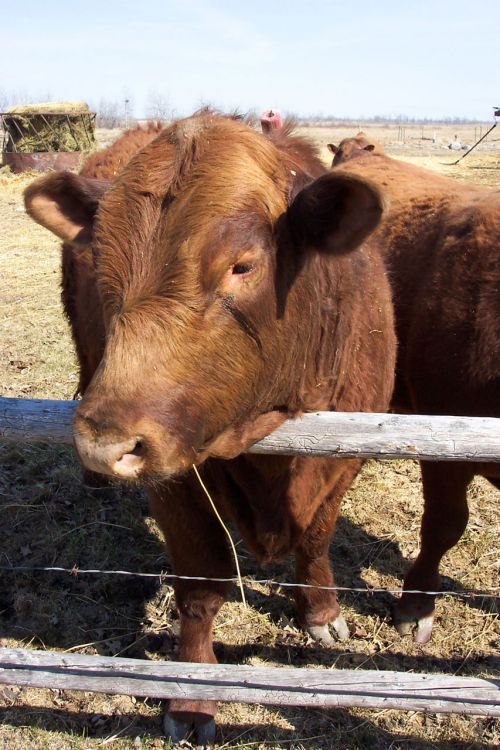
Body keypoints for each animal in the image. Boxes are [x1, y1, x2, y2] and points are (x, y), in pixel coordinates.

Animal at [27, 113, 396, 748]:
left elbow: (318, 536)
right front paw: (193, 694)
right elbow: (200, 587)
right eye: (101, 262)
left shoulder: (345, 457)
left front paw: (321, 612)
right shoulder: (175, 481)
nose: (104, 443)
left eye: (242, 265)